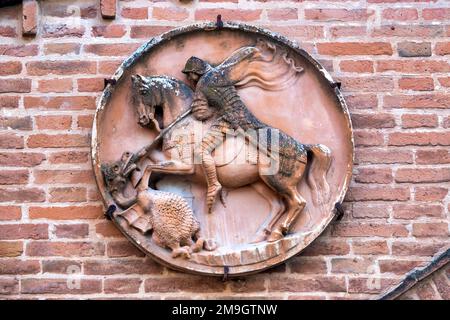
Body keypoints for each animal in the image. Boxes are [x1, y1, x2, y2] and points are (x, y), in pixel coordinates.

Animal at [129, 74, 330, 241]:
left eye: (143, 92)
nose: (142, 120)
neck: (185, 124)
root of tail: (302, 147)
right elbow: (149, 162)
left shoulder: (183, 166)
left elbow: (149, 167)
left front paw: (142, 191)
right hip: (259, 182)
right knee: (278, 205)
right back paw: (261, 236)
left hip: (277, 180)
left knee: (298, 202)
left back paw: (277, 233)